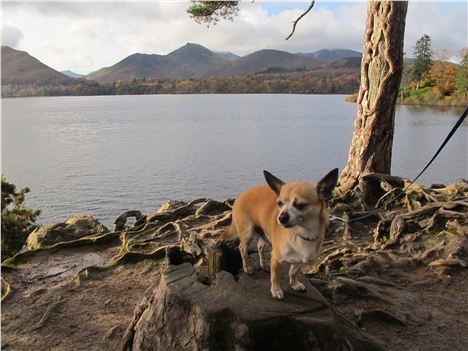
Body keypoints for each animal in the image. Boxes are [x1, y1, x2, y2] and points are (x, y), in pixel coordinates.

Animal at [226, 169, 338, 302]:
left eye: (300, 205)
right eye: (279, 203)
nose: (281, 218)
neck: (301, 234)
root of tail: (240, 195)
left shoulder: (301, 260)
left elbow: (293, 272)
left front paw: (294, 284)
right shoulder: (275, 258)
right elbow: (275, 277)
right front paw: (276, 290)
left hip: (263, 233)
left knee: (259, 246)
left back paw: (264, 264)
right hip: (247, 232)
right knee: (242, 249)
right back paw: (247, 267)